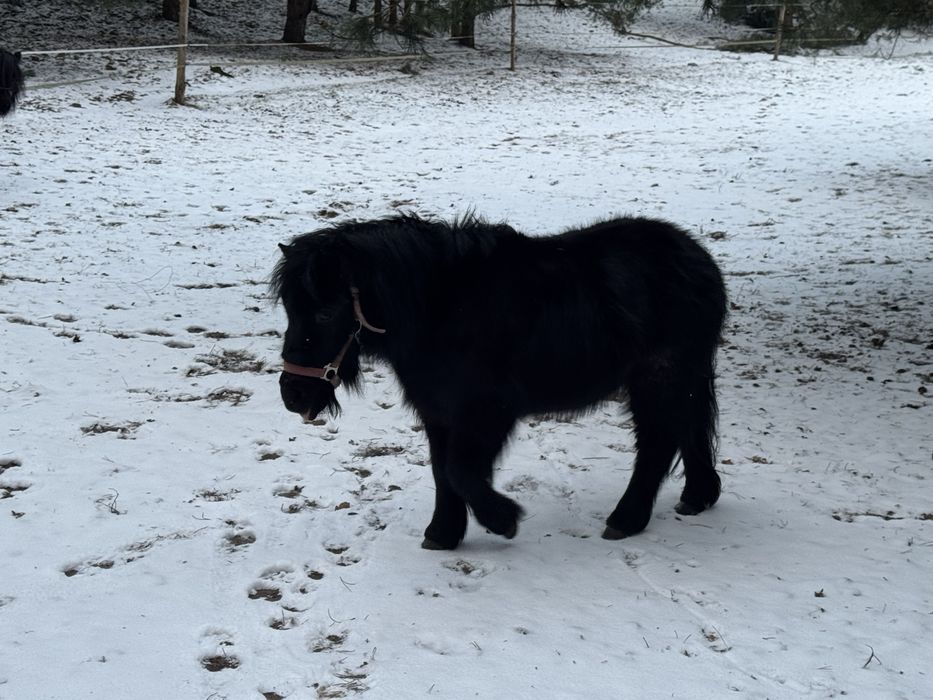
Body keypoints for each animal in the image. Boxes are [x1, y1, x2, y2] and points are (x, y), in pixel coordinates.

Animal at [272, 214, 727, 550]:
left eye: (326, 312)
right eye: (290, 309)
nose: (293, 394)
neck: (441, 309)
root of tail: (698, 258)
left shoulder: (488, 412)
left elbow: (460, 471)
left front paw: (502, 519)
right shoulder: (439, 412)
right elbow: (442, 471)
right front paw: (443, 534)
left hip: (659, 378)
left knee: (657, 443)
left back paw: (626, 519)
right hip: (675, 378)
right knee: (687, 427)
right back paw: (698, 495)